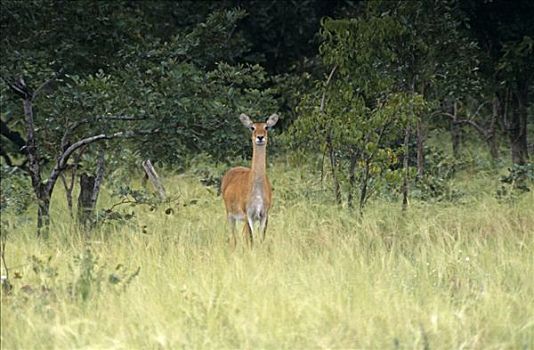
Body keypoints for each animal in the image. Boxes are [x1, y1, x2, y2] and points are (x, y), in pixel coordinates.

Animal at [222, 113, 280, 246]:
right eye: (252, 127)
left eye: (266, 127)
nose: (260, 137)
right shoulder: (249, 215)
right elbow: (251, 239)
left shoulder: (264, 214)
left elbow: (260, 238)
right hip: (230, 215)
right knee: (234, 238)